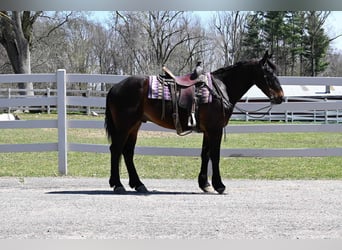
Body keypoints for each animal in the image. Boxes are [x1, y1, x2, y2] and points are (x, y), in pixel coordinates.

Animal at [104, 50, 284, 194]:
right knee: (116, 150)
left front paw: (205, 184)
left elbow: (205, 154)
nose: (281, 97)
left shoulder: (208, 130)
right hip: (124, 127)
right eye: (268, 73)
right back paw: (117, 184)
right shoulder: (215, 129)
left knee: (127, 152)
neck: (221, 88)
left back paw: (138, 184)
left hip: (134, 126)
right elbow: (215, 155)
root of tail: (114, 88)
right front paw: (219, 185)